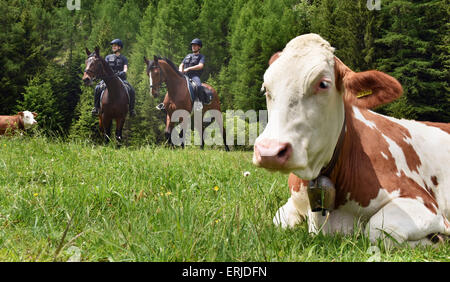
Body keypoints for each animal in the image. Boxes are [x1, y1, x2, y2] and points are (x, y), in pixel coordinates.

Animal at [253, 33, 450, 247]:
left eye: (323, 84)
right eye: (265, 88)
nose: (269, 151)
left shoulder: (424, 204)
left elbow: (378, 230)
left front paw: (435, 239)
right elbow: (279, 220)